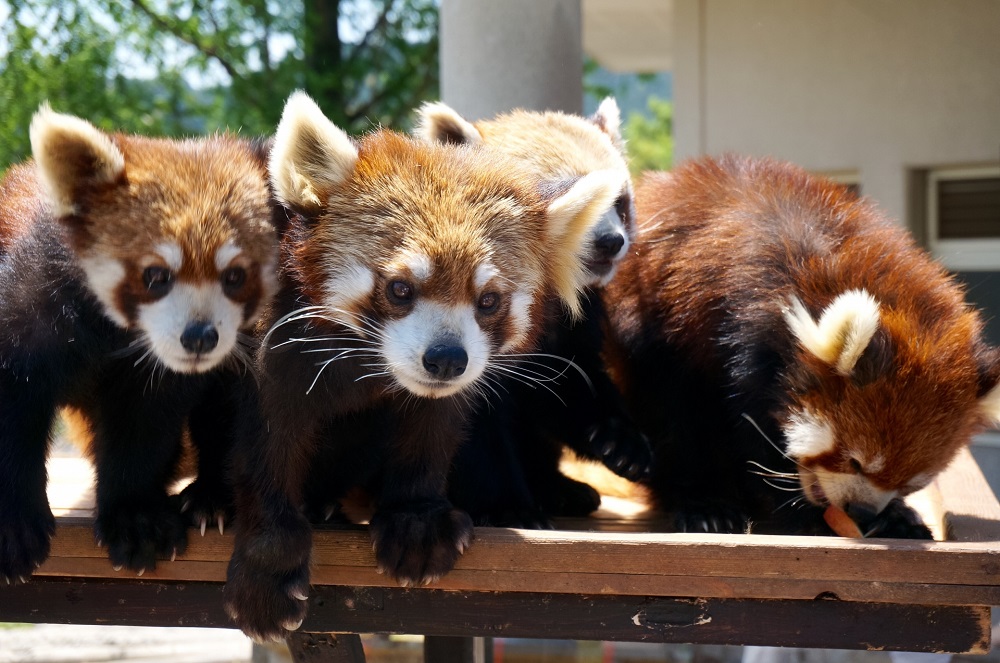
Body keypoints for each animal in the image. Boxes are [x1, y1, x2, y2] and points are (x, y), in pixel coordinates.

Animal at [0, 105, 280, 580]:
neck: (112, 333)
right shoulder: (28, 302)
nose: (200, 336)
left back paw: (211, 498)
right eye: (155, 275)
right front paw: (12, 525)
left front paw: (135, 518)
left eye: (235, 276)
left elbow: (142, 425)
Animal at [412, 98, 648, 528]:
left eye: (619, 203)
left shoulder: (575, 319)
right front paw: (507, 506)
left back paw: (559, 488)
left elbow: (569, 382)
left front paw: (620, 440)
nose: (611, 242)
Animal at [600, 153, 1000, 536]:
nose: (861, 511)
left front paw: (895, 515)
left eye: (910, 483)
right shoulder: (725, 327)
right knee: (673, 417)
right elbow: (749, 434)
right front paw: (807, 511)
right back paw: (704, 503)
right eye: (855, 462)